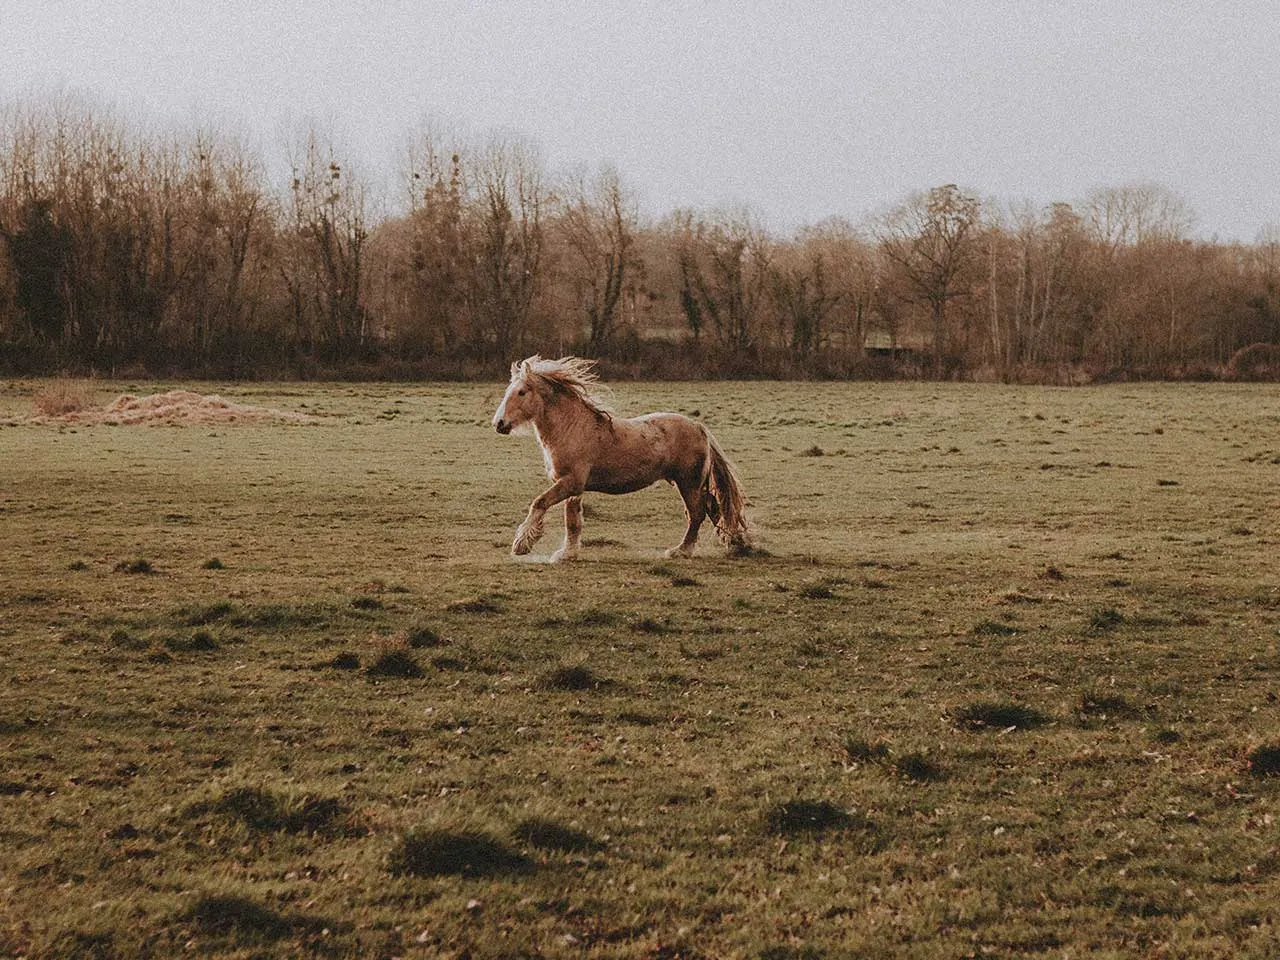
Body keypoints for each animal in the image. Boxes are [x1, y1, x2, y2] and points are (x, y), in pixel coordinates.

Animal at [492, 355, 751, 561]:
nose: (499, 424)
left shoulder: (571, 482)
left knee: (697, 514)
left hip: (688, 483)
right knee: (713, 510)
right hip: (691, 484)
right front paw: (567, 553)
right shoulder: (574, 487)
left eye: (521, 392)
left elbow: (539, 502)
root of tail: (700, 428)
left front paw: (521, 545)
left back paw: (681, 551)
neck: (572, 428)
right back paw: (734, 544)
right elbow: (572, 521)